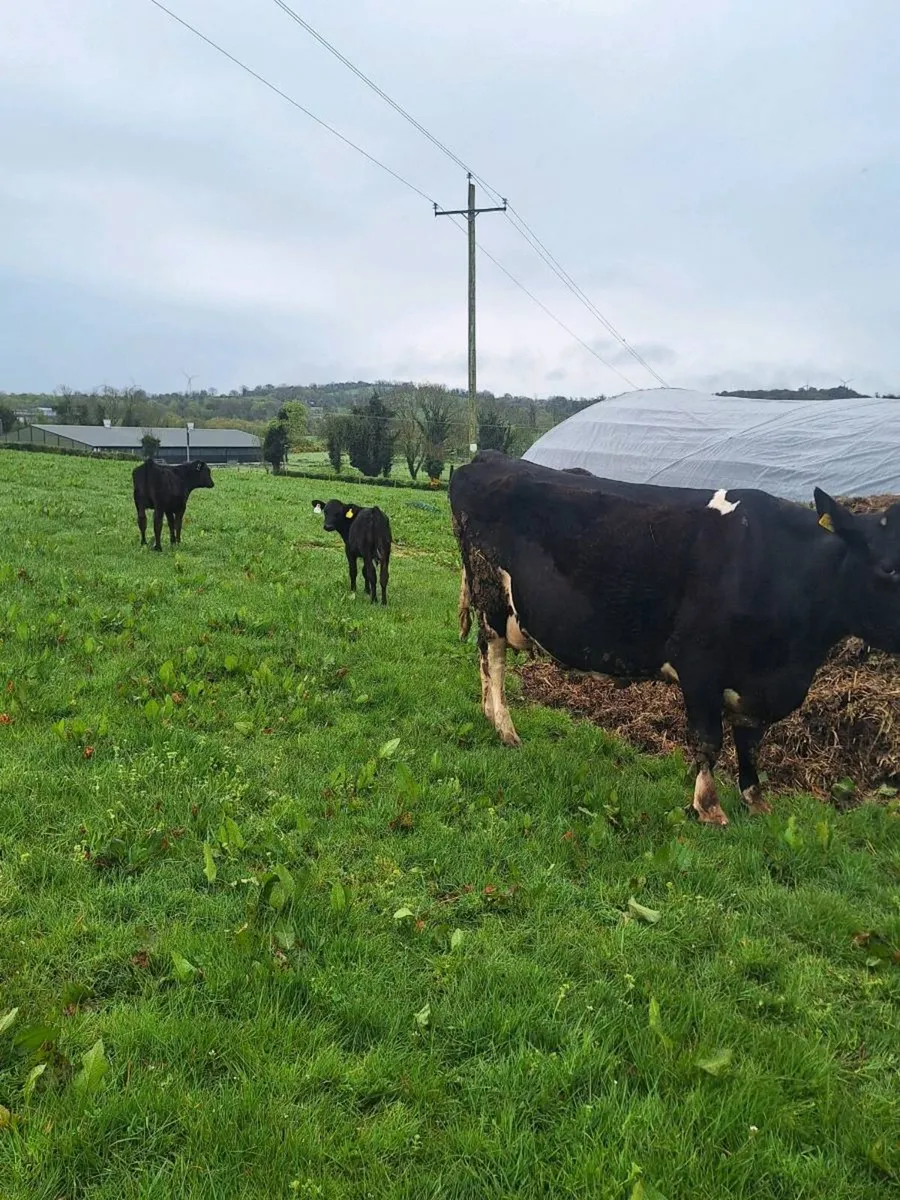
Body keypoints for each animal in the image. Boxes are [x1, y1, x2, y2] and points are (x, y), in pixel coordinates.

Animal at [450, 450, 900, 826]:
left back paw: (489, 717)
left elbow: (750, 742)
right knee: (492, 656)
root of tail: (487, 458)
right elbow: (709, 740)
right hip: (492, 595)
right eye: (889, 569)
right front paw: (709, 807)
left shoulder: (759, 684)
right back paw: (505, 728)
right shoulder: (699, 664)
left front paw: (755, 799)